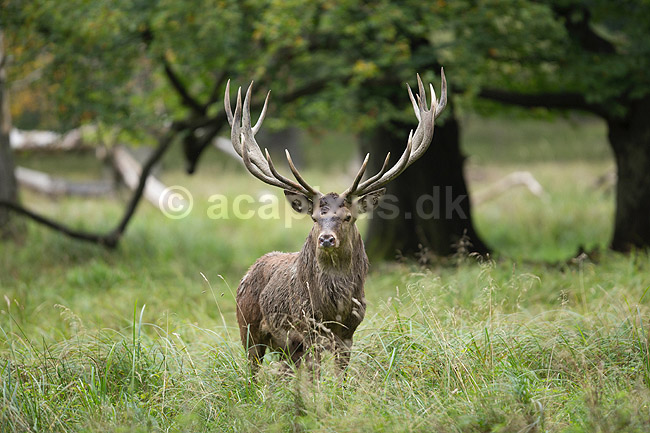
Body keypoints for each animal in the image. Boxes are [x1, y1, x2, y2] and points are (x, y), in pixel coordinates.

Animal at [224, 70, 447, 374]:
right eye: (315, 217)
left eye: (348, 217)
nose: (326, 238)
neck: (334, 308)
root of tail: (247, 272)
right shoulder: (308, 329)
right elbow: (317, 375)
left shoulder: (349, 331)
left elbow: (341, 375)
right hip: (247, 329)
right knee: (253, 370)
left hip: (284, 348)